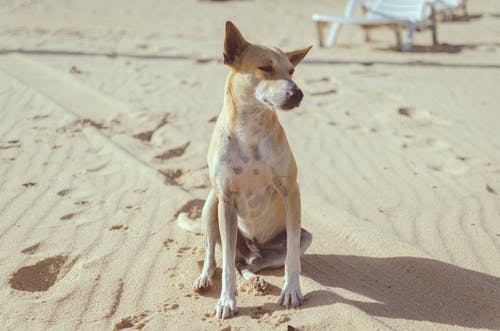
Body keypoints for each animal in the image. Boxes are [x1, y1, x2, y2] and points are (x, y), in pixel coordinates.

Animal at [192, 21, 312, 322]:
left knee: (249, 264)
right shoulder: (225, 199)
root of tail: (253, 250)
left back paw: (256, 278)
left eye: (291, 71)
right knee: (217, 257)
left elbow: (292, 256)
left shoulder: (291, 191)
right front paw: (226, 301)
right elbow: (225, 264)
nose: (297, 94)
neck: (251, 130)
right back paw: (205, 278)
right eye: (265, 67)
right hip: (210, 205)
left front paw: (291, 290)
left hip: (300, 239)